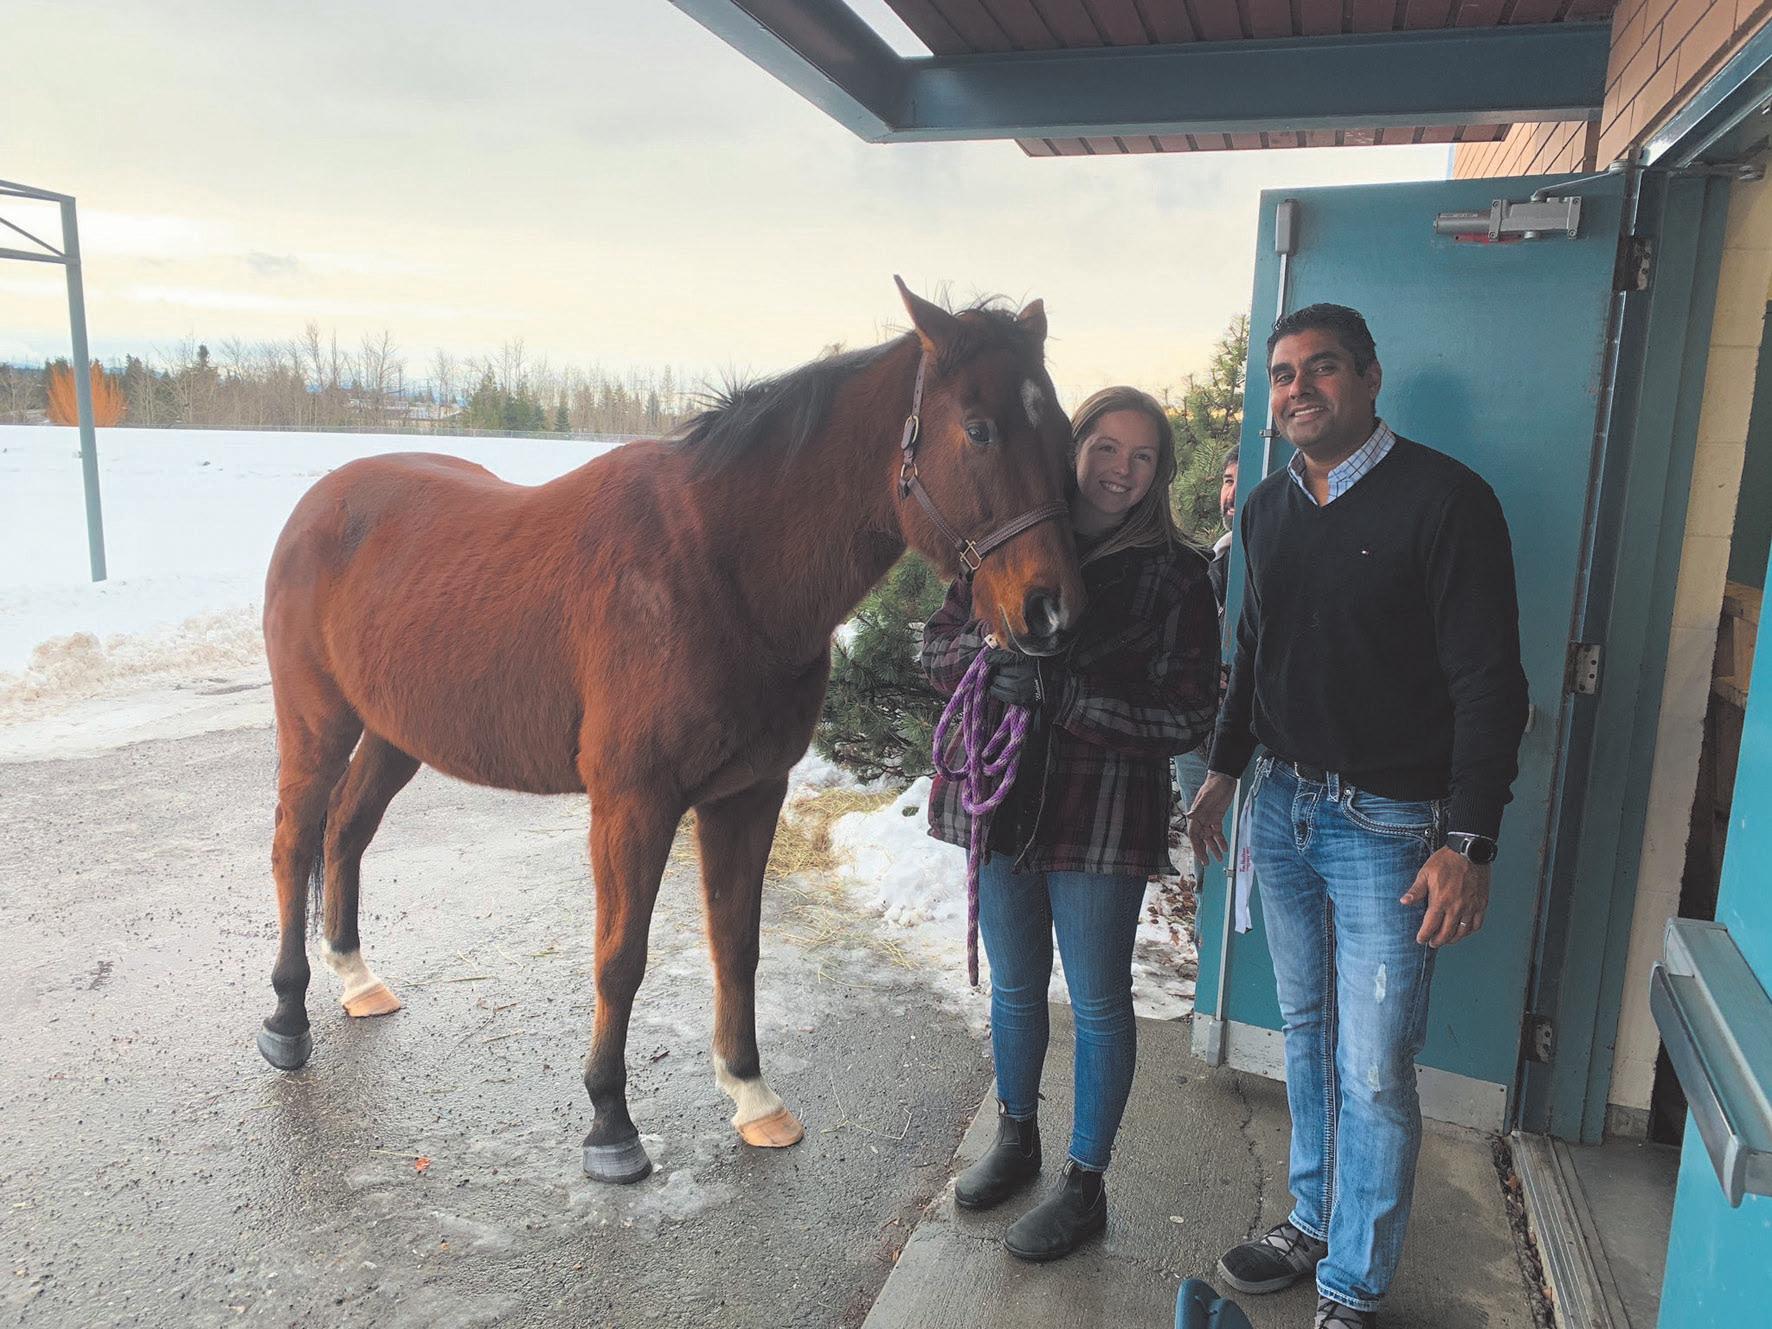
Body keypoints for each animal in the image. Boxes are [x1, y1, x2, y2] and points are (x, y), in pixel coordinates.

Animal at [256, 279, 1086, 1184]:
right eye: (978, 427)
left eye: (1063, 428)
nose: (1052, 613)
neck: (718, 565)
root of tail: (319, 502)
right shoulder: (634, 802)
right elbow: (621, 957)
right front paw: (610, 1123)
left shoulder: (748, 795)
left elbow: (737, 942)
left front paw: (752, 1095)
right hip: (317, 722)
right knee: (296, 842)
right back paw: (288, 1022)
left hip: (394, 733)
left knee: (346, 830)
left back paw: (355, 979)